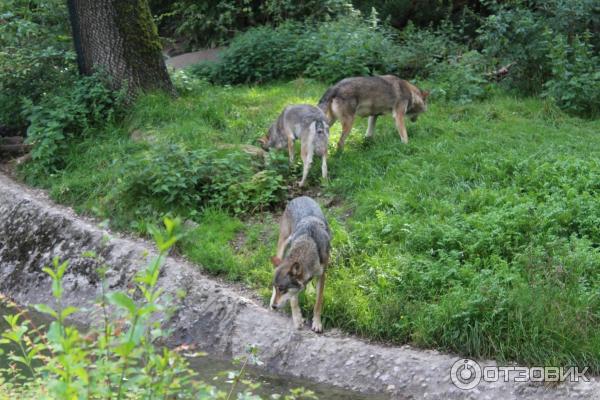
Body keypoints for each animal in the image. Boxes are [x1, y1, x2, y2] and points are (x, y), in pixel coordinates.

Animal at [270, 195, 330, 332]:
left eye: (282, 289)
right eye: (276, 288)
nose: (274, 306)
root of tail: (300, 197)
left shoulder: (322, 275)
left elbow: (318, 303)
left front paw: (317, 323)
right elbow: (293, 300)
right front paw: (297, 319)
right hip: (282, 245)